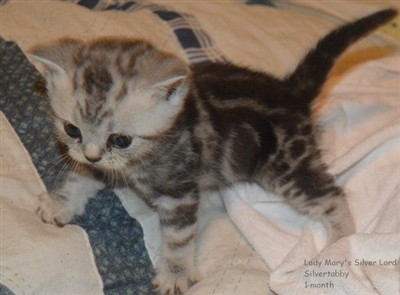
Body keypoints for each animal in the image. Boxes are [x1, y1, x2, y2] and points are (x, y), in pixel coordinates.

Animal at [28, 9, 396, 295]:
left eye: (121, 139)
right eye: (72, 130)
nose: (92, 154)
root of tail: (290, 93)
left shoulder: (180, 190)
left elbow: (178, 239)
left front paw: (175, 276)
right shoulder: (96, 160)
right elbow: (80, 177)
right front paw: (60, 203)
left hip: (287, 165)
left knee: (330, 195)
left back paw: (339, 244)